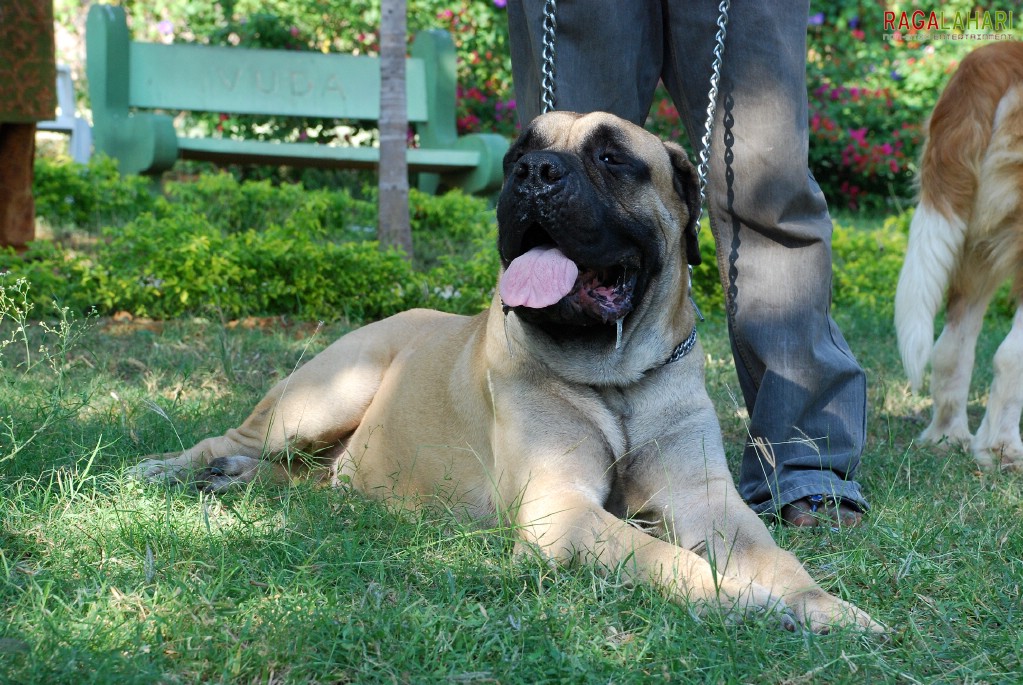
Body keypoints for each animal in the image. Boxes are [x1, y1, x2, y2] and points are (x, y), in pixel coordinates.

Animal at [138, 111, 887, 633]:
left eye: (612, 158)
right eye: (517, 156)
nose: (536, 173)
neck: (614, 375)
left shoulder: (707, 497)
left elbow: (772, 554)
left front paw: (822, 605)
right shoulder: (562, 508)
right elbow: (668, 558)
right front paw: (736, 599)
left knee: (308, 479)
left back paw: (242, 480)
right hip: (325, 394)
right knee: (231, 438)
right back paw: (178, 468)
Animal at [896, 41, 1023, 472]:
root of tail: (989, 59)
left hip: (972, 246)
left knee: (950, 347)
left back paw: (947, 437)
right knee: (1010, 355)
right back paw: (1001, 450)